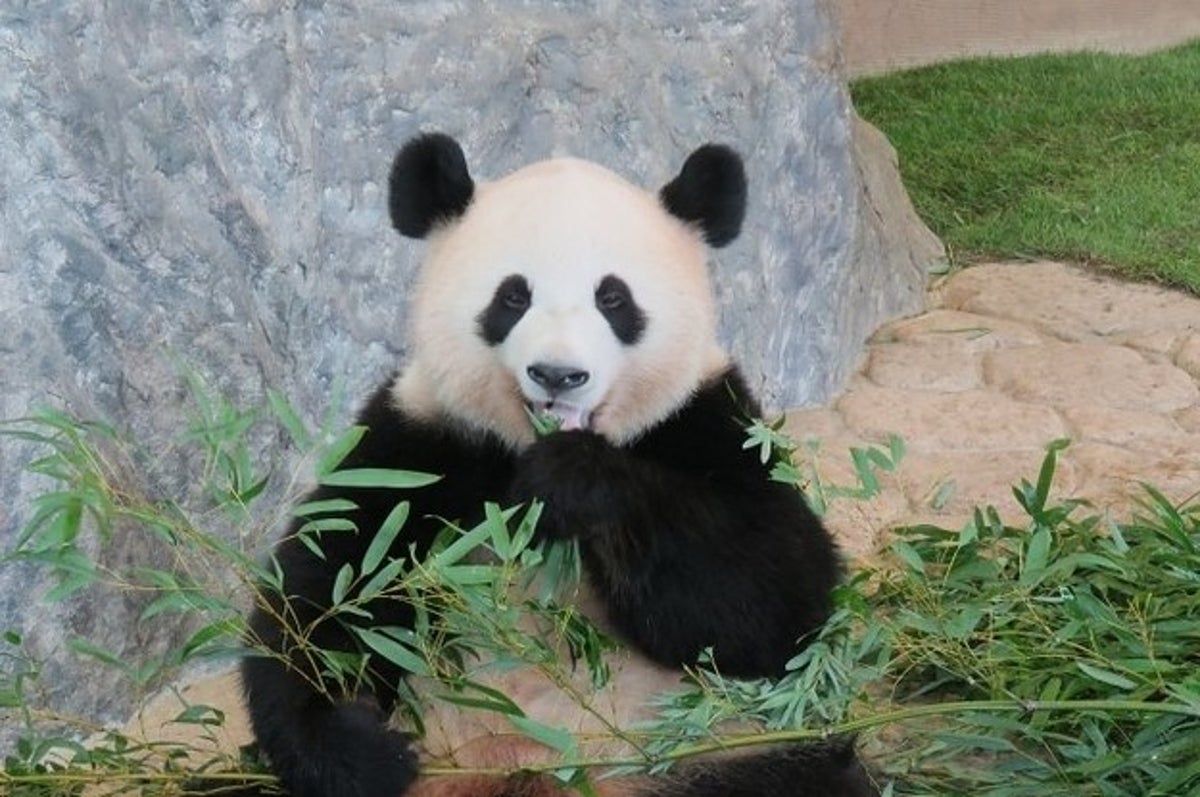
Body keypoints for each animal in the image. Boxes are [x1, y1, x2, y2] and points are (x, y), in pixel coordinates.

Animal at [241, 132, 883, 797]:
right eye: (513, 296)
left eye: (614, 298)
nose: (558, 374)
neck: (527, 447)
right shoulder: (421, 443)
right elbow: (327, 590)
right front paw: (359, 749)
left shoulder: (707, 423)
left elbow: (770, 598)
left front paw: (572, 482)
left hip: (726, 754)